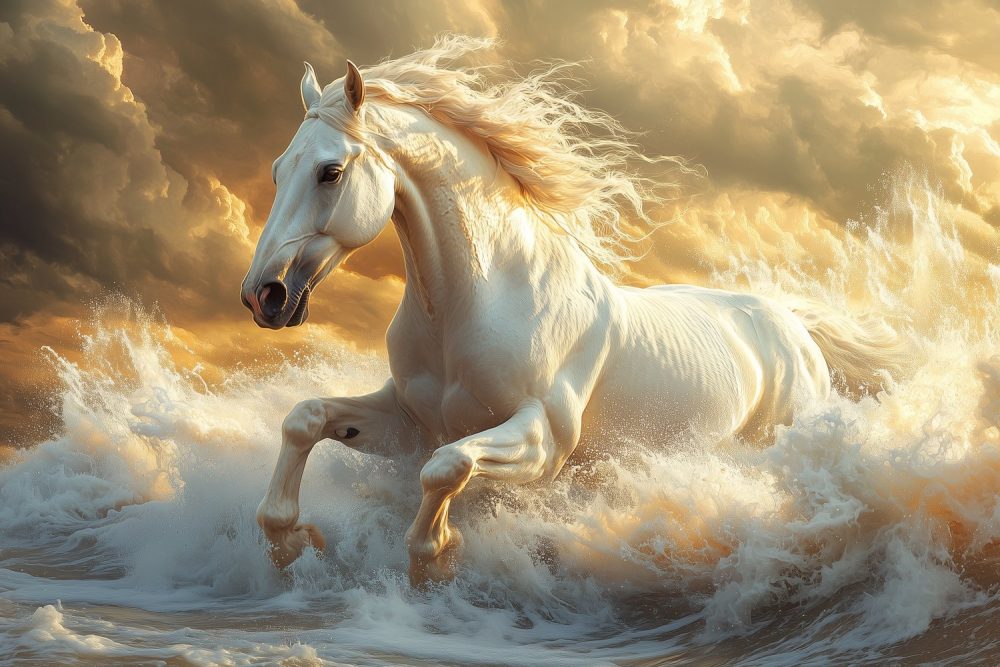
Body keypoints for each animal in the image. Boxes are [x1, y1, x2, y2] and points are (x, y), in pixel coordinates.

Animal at [240, 37, 901, 584]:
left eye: (330, 171)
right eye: (275, 171)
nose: (263, 295)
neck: (477, 303)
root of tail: (794, 326)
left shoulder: (543, 442)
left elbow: (445, 468)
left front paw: (436, 558)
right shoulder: (409, 421)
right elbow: (304, 419)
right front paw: (290, 540)